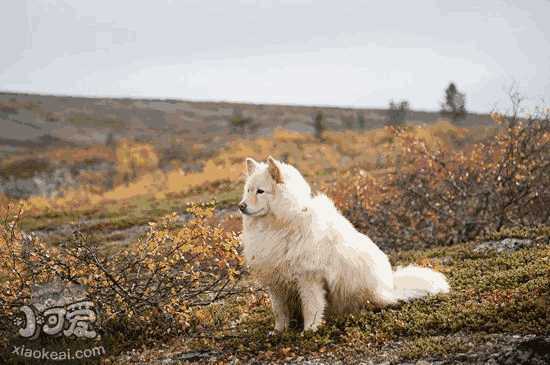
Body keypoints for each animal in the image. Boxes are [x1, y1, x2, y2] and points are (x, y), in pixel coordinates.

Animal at [239, 155, 450, 332]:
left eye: (260, 191)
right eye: (248, 190)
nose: (241, 206)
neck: (281, 225)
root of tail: (390, 287)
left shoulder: (309, 278)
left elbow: (311, 308)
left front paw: (309, 332)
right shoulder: (275, 281)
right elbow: (280, 311)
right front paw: (279, 332)